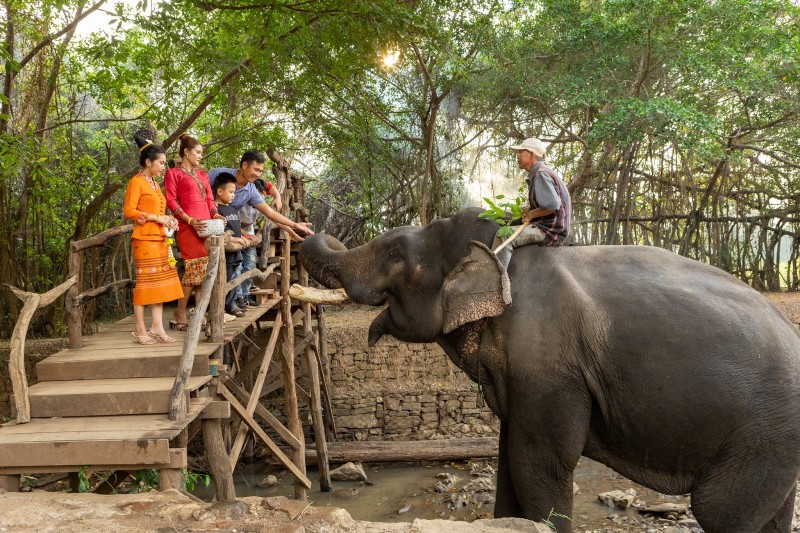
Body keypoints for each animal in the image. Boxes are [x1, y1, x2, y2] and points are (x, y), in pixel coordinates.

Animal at [298, 208, 800, 532]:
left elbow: (539, 463)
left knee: (721, 511)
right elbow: (508, 459)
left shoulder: (549, 369)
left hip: (761, 436)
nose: (304, 228)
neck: (500, 254)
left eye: (397, 254)